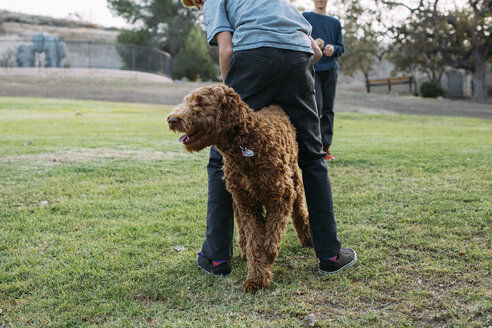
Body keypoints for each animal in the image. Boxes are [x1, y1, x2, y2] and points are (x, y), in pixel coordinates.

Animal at [165, 84, 312, 292]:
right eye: (188, 101)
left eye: (201, 103)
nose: (172, 119)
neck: (247, 144)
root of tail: (275, 106)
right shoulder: (246, 202)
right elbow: (254, 242)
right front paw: (257, 277)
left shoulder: (280, 196)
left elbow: (270, 239)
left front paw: (267, 259)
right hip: (236, 197)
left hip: (294, 182)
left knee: (299, 210)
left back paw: (308, 238)